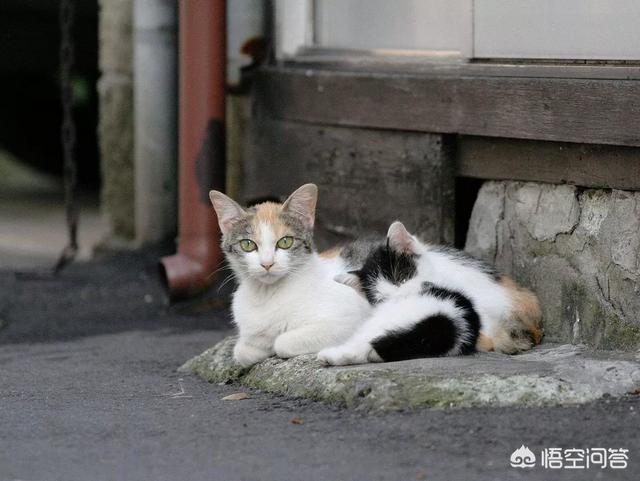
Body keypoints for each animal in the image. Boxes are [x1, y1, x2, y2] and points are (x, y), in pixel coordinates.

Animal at [210, 182, 370, 366]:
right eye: (247, 244)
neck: (266, 295)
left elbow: (281, 342)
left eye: (285, 242)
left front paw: (273, 343)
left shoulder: (345, 320)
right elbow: (242, 351)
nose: (267, 263)